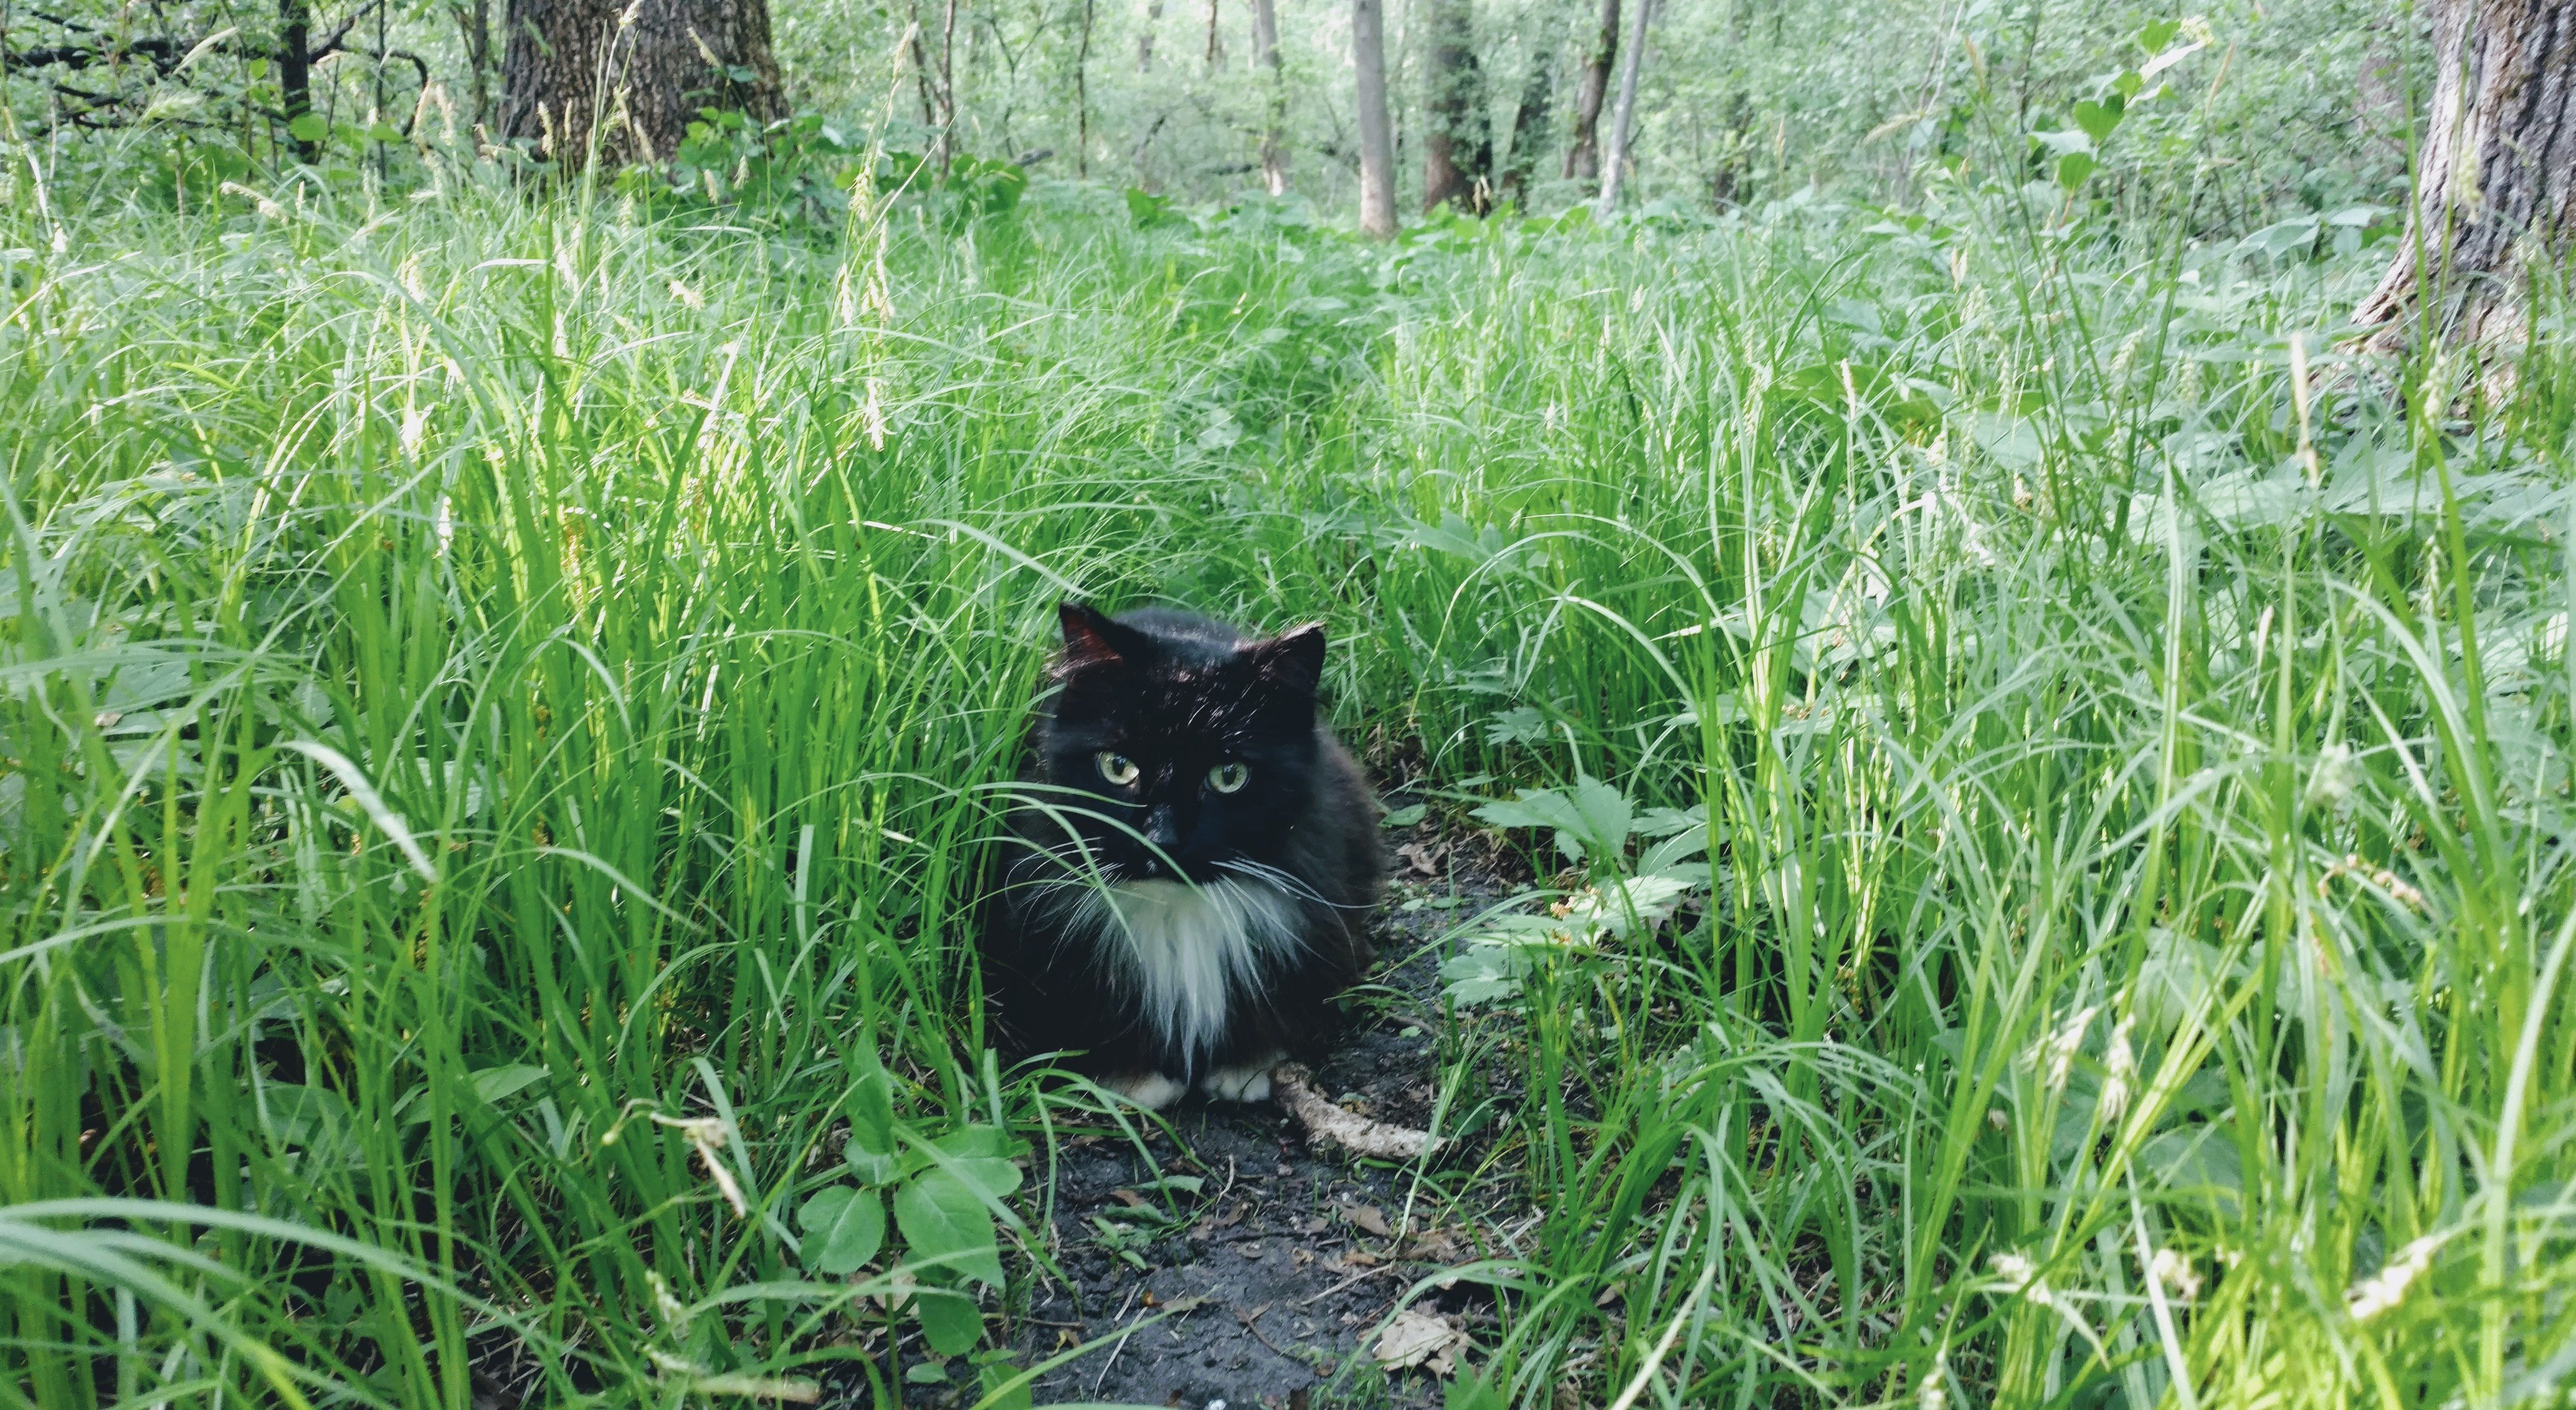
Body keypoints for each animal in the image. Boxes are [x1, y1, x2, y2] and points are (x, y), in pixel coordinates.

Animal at [979, 602, 1383, 1110]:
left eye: (1229, 775)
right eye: (1118, 767)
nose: (1163, 839)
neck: (1176, 910)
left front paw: (1245, 1067)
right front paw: (1134, 1078)